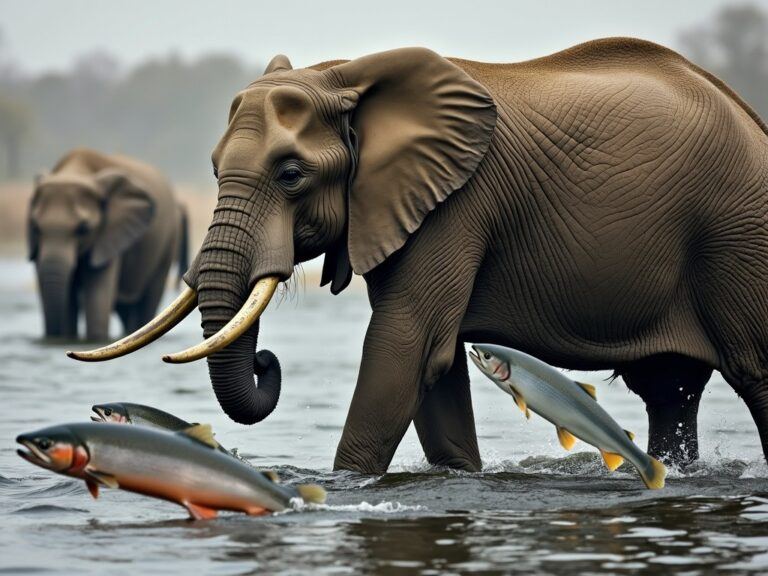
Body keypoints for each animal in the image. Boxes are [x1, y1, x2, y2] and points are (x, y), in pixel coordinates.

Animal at [30, 148, 189, 342]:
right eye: (35, 227)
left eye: (83, 228)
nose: (54, 337)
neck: (76, 169)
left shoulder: (109, 234)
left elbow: (98, 294)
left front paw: (95, 340)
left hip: (168, 240)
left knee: (149, 299)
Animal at [75, 38, 768, 474]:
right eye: (216, 171)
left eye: (292, 175)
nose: (269, 362)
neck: (345, 75)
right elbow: (436, 364)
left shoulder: (457, 203)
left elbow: (405, 347)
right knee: (670, 389)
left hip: (739, 233)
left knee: (752, 372)